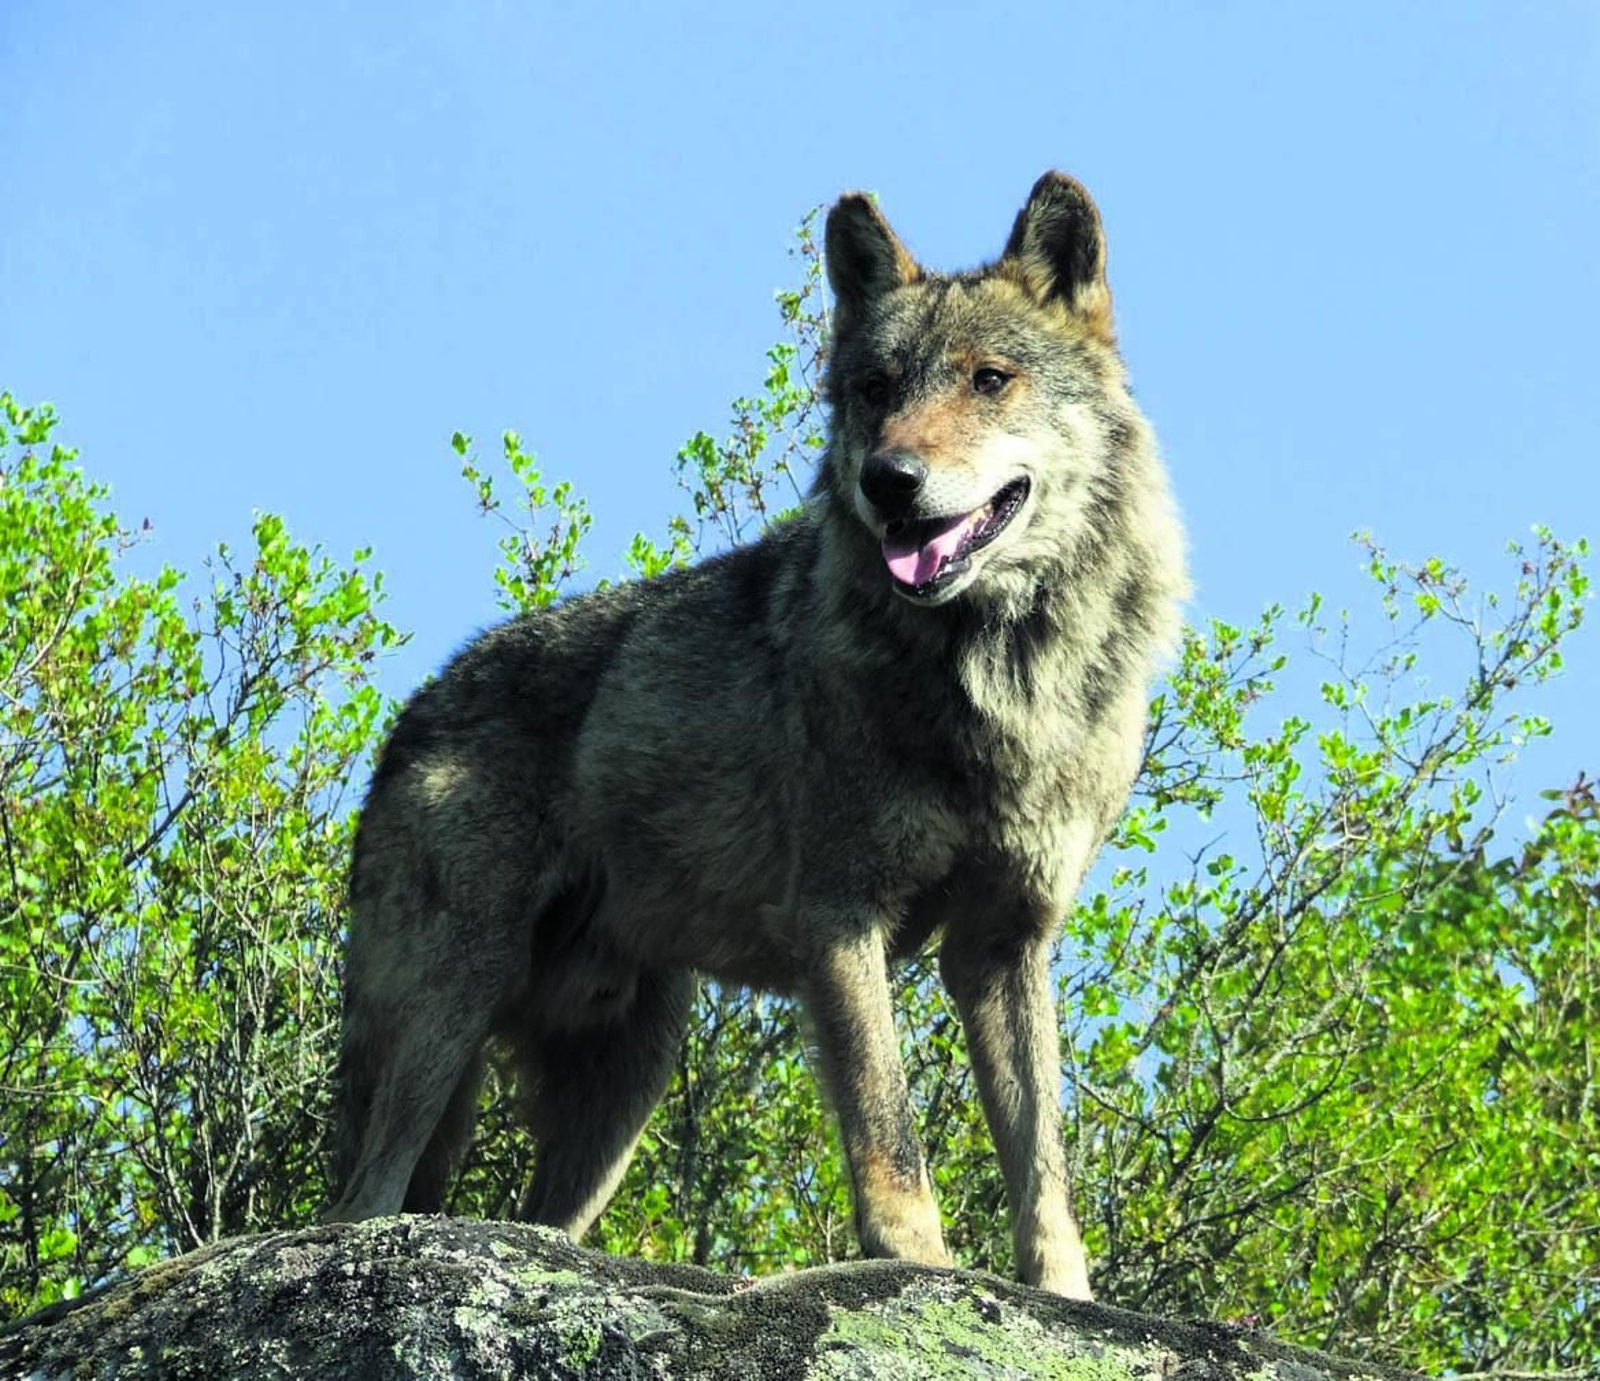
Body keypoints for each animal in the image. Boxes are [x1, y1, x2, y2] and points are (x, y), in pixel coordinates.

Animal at [328, 171, 1186, 1300]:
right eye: (874, 389)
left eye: (989, 379)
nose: (888, 481)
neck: (1000, 680)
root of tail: (414, 708)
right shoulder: (839, 916)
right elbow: (888, 1119)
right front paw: (915, 1263)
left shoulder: (1003, 943)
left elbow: (1041, 1155)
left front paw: (1064, 1295)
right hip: (451, 1014)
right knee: (361, 1202)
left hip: (626, 1086)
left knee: (530, 1220)